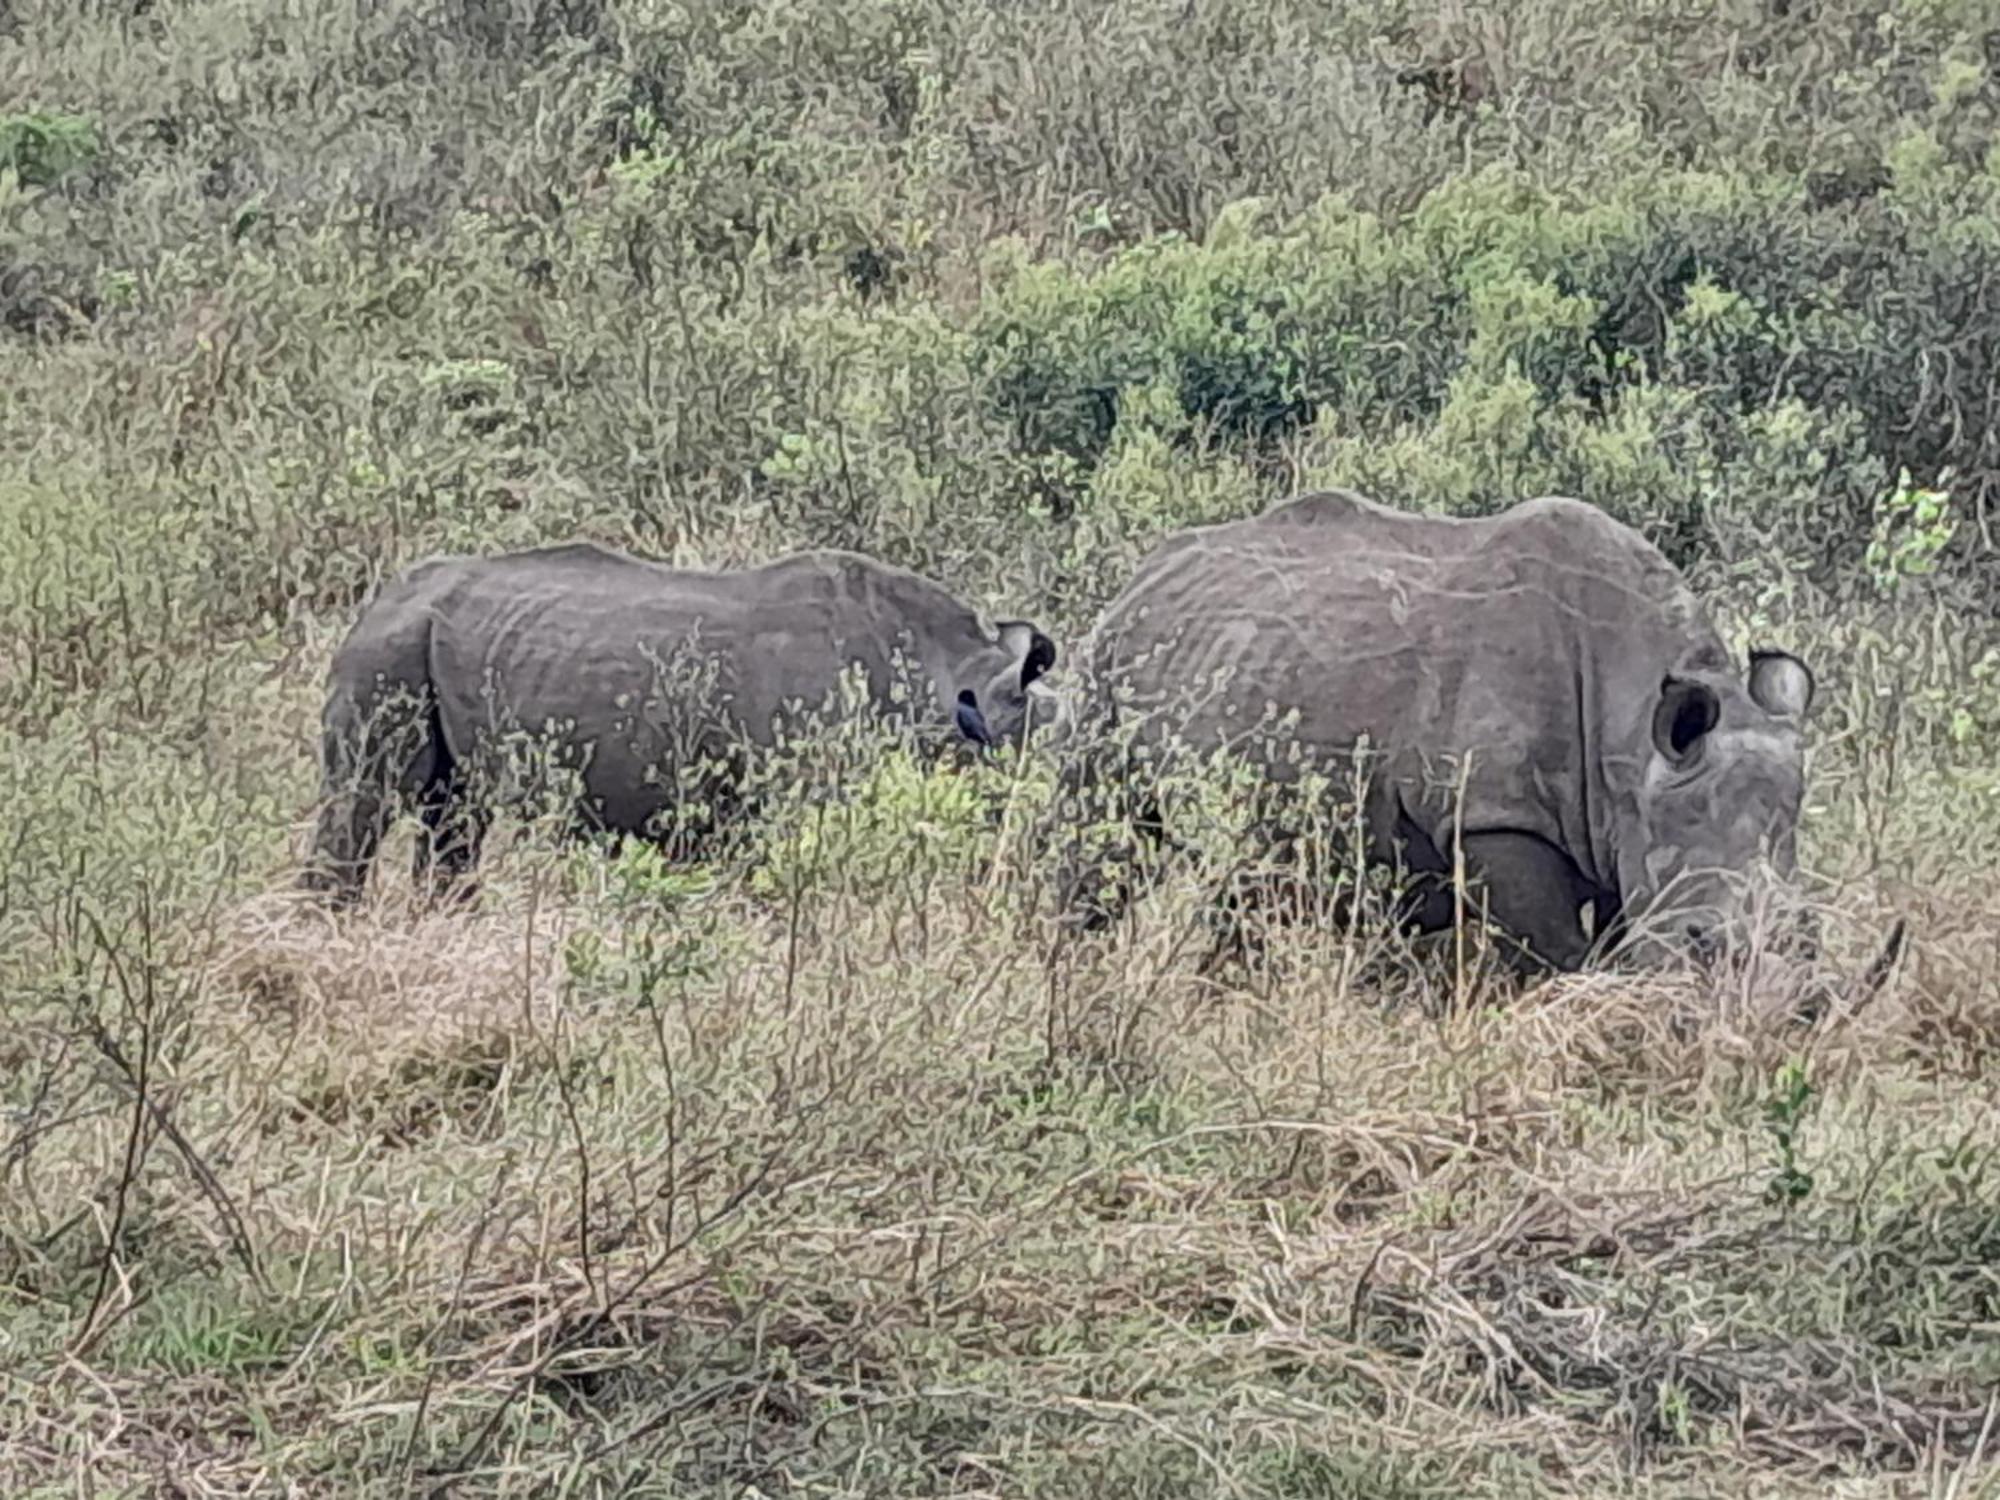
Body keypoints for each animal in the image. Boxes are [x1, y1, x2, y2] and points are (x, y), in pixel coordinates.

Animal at [302, 548, 1056, 912]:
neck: (953, 678)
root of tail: (378, 597)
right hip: (388, 646)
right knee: (365, 799)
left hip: (443, 641)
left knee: (456, 814)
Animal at [1064, 488, 1832, 968]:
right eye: (1702, 942)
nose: (1778, 1019)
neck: (1634, 738)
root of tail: (1136, 579)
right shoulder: (1492, 816)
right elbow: (1564, 959)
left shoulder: (1626, 831)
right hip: (1102, 670)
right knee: (1099, 843)